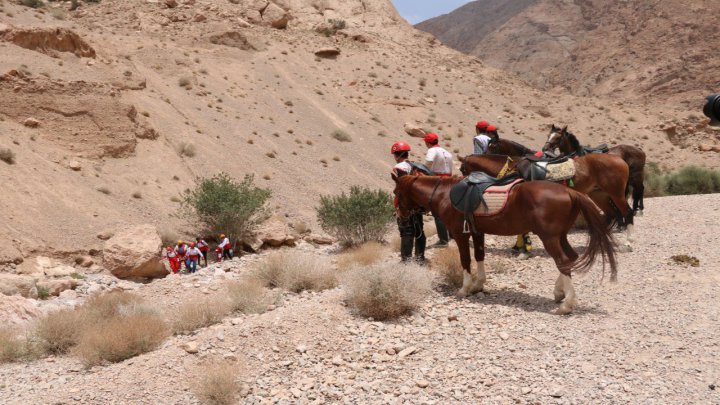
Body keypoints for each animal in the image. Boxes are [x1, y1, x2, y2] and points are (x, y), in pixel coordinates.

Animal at [394, 174, 620, 312]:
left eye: (396, 193)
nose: (401, 217)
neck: (446, 194)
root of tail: (570, 192)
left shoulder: (460, 234)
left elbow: (465, 260)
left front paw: (465, 289)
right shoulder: (477, 233)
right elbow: (479, 256)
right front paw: (479, 285)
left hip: (550, 237)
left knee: (563, 261)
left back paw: (566, 305)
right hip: (560, 235)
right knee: (570, 258)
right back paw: (560, 293)